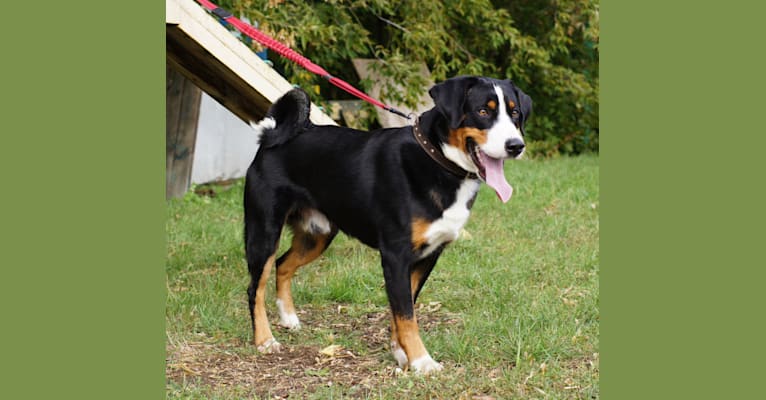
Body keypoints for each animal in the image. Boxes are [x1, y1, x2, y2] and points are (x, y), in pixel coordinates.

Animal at [246, 76, 536, 376]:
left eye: (514, 113)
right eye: (482, 112)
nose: (516, 145)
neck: (438, 161)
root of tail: (272, 136)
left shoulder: (428, 256)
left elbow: (405, 308)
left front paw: (400, 353)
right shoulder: (395, 256)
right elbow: (406, 315)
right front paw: (421, 361)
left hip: (317, 235)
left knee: (283, 265)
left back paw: (289, 318)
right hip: (264, 231)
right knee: (256, 288)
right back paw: (265, 340)